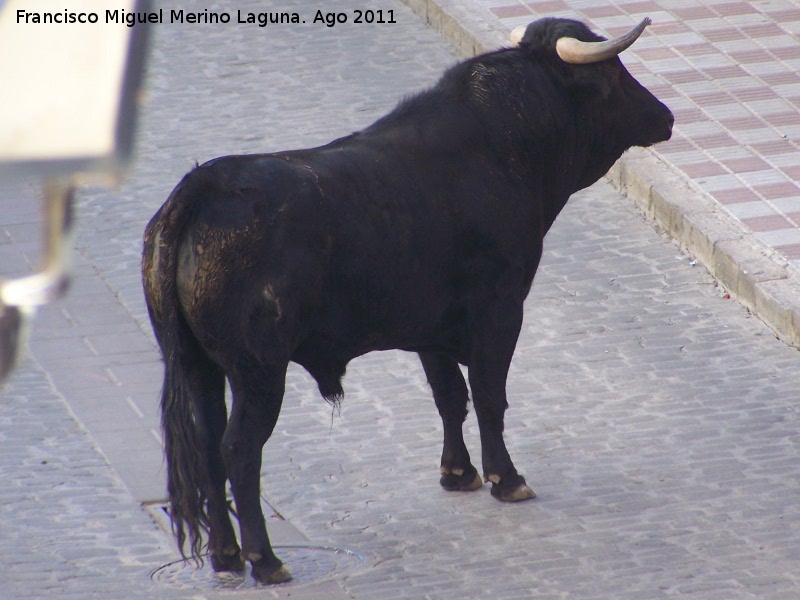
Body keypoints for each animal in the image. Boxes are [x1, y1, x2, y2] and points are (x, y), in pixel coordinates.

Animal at [144, 17, 676, 580]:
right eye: (612, 75)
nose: (665, 116)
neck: (503, 145)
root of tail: (203, 186)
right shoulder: (501, 310)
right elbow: (489, 394)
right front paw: (505, 478)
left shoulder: (430, 327)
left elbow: (449, 397)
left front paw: (458, 472)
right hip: (258, 372)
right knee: (240, 450)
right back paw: (264, 560)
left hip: (197, 366)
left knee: (207, 446)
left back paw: (225, 555)